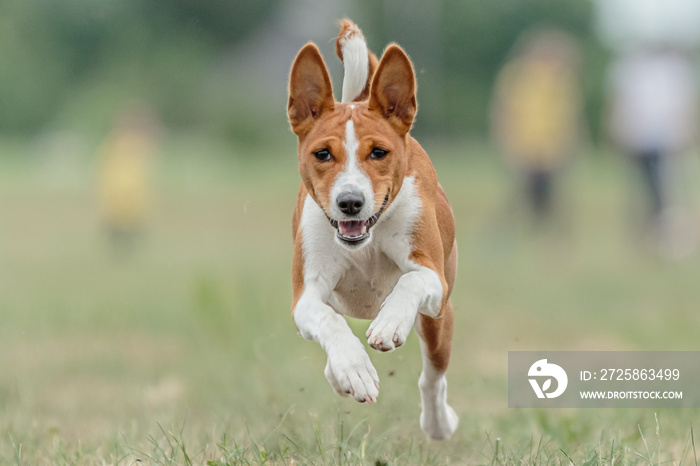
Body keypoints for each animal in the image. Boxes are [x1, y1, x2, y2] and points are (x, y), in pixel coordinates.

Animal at [286, 19, 460, 440]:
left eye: (378, 152)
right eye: (322, 154)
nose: (350, 202)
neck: (366, 242)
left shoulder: (431, 273)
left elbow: (409, 281)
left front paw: (389, 322)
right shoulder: (305, 295)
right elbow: (329, 322)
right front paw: (354, 369)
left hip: (439, 317)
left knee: (432, 378)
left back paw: (438, 423)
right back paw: (342, 375)